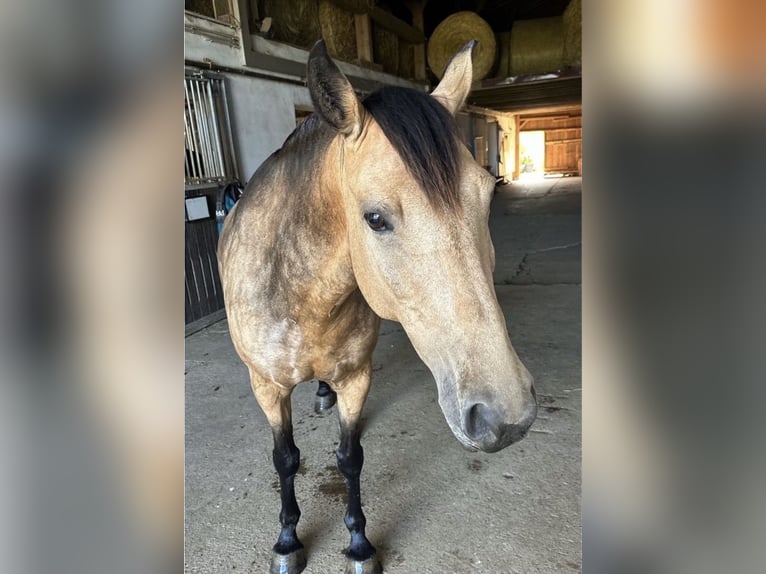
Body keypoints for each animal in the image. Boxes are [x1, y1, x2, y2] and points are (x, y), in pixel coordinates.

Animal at [216, 40, 540, 574]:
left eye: (486, 194)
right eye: (374, 218)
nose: (506, 416)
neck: (301, 295)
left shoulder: (356, 378)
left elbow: (350, 458)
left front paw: (359, 544)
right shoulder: (266, 387)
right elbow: (285, 459)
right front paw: (287, 541)